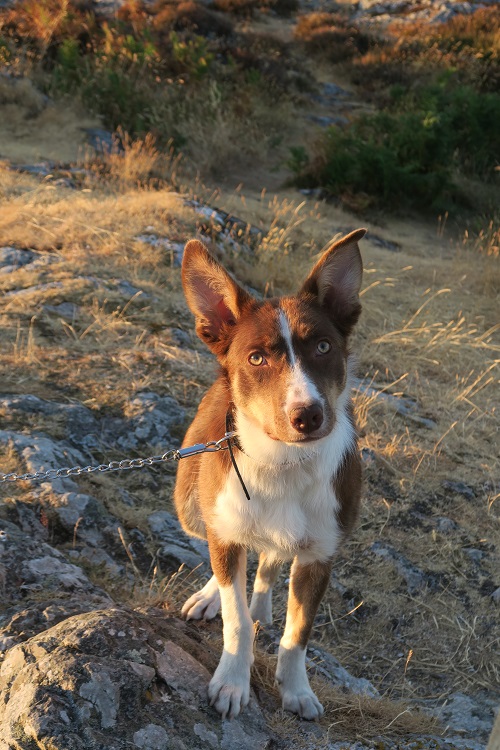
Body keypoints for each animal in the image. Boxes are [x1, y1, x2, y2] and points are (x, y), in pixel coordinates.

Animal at [174, 229, 366, 724]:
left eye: (323, 347)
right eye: (257, 358)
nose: (308, 416)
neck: (285, 463)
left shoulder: (320, 555)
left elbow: (297, 636)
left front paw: (296, 690)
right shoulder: (225, 522)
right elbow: (236, 619)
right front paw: (232, 682)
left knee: (267, 562)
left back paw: (260, 598)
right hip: (190, 501)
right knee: (222, 550)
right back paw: (213, 595)